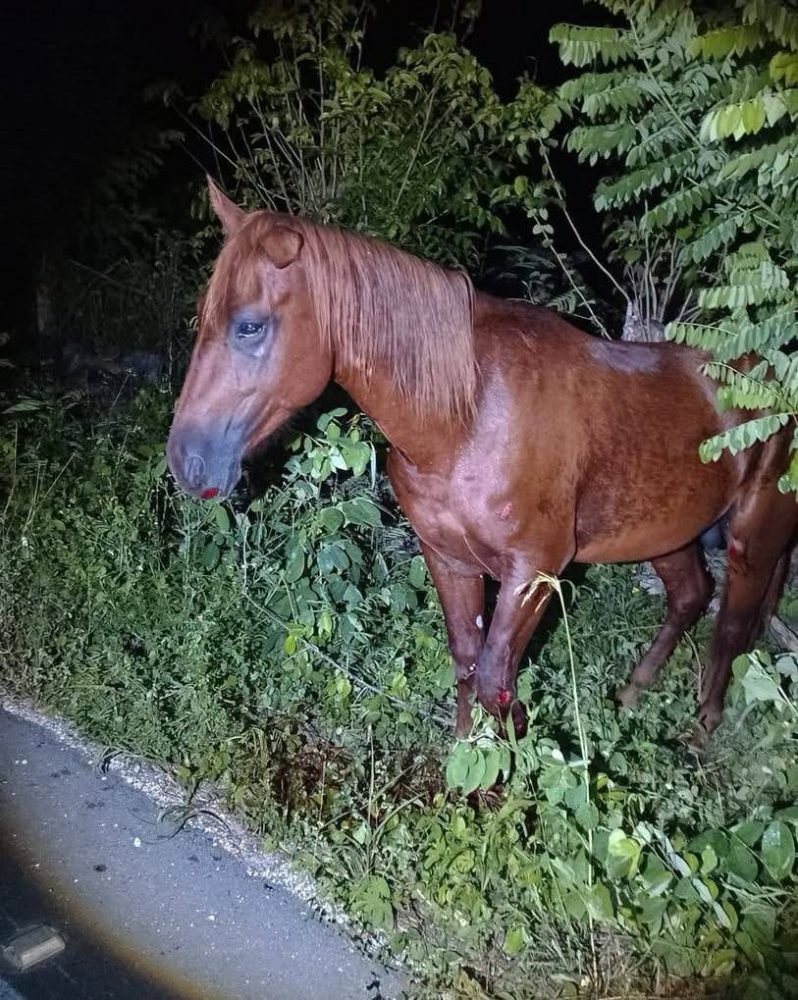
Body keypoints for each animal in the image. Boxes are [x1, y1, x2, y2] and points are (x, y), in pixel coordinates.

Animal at [167, 178, 797, 748]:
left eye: (250, 325)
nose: (187, 462)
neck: (466, 418)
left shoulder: (534, 572)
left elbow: (498, 680)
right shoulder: (449, 558)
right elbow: (468, 663)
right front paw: (464, 772)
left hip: (753, 535)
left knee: (731, 627)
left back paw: (701, 731)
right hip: (665, 531)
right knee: (690, 596)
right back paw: (631, 694)